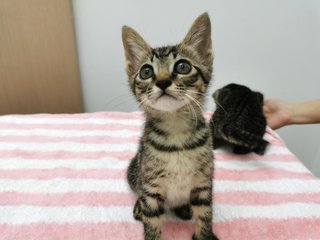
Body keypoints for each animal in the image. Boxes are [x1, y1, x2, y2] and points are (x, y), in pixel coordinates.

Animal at [122, 13, 218, 240]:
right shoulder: (150, 190)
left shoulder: (203, 184)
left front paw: (204, 235)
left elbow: (205, 216)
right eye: (146, 71)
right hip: (135, 171)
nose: (163, 82)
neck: (176, 132)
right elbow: (151, 224)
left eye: (183, 67)